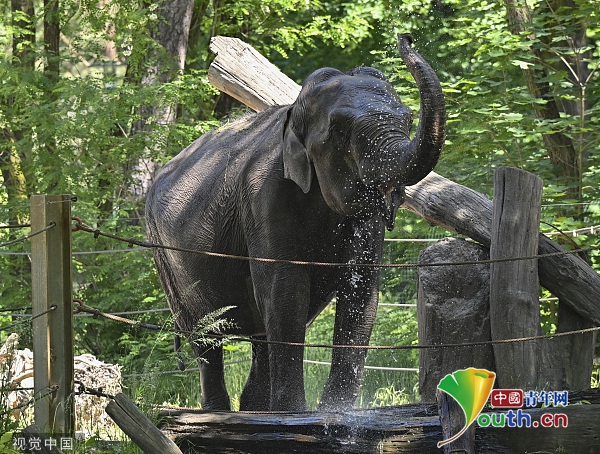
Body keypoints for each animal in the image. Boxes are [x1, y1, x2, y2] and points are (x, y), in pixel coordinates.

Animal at [145, 33, 446, 414]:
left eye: (407, 120)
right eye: (340, 130)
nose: (405, 38)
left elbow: (361, 290)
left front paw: (336, 412)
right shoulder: (263, 197)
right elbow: (285, 290)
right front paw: (296, 412)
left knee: (258, 332)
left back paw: (255, 409)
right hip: (165, 258)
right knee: (205, 333)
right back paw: (220, 412)